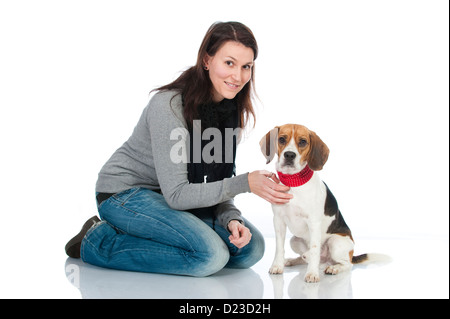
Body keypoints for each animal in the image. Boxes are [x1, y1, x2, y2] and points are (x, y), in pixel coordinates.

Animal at [258, 124, 370, 284]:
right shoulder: (278, 220)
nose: (289, 155)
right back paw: (292, 260)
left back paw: (334, 268)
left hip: (336, 242)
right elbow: (279, 247)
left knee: (347, 264)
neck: (294, 182)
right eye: (281, 139)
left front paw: (312, 274)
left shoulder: (314, 222)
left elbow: (315, 248)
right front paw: (277, 266)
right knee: (305, 257)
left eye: (303, 142)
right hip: (294, 240)